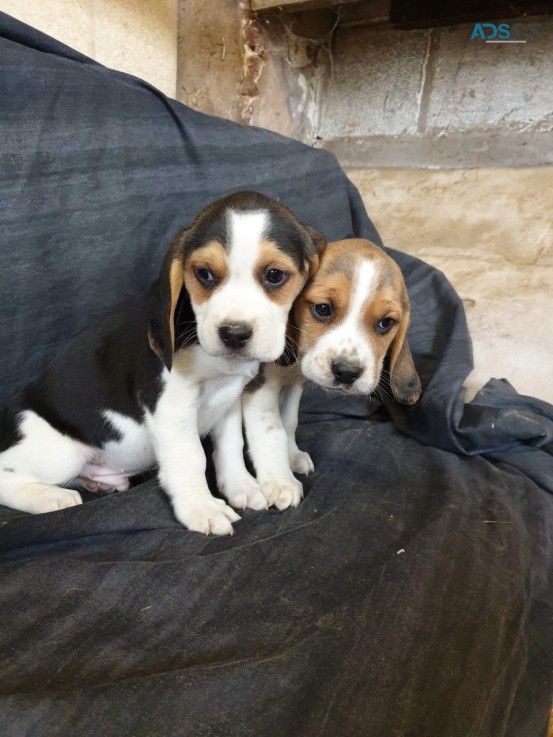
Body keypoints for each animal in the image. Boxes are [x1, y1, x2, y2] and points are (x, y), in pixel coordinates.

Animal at [0, 190, 324, 536]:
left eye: (275, 275)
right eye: (204, 274)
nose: (234, 333)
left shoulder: (229, 399)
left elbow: (230, 446)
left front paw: (242, 487)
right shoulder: (172, 407)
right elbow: (191, 457)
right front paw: (202, 508)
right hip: (58, 452)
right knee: (7, 476)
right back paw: (51, 497)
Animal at [218, 239, 420, 508]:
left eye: (386, 323)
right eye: (323, 309)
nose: (347, 372)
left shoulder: (296, 383)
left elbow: (289, 421)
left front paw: (291, 455)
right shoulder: (260, 388)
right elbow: (272, 431)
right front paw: (281, 483)